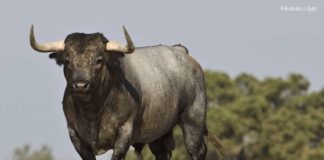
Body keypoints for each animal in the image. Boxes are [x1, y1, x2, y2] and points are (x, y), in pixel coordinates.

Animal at [29, 25, 225, 159]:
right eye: (68, 60)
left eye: (99, 60)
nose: (80, 85)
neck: (93, 112)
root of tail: (180, 50)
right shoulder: (76, 136)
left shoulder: (124, 133)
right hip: (159, 134)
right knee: (162, 153)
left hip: (193, 120)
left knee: (196, 150)